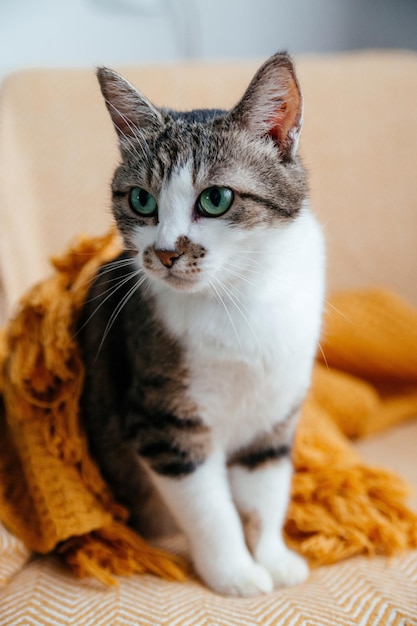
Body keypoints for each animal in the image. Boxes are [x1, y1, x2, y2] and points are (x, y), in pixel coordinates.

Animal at [78, 53, 324, 596]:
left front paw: (274, 559)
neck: (241, 297)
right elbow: (212, 510)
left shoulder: (273, 413)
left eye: (215, 199)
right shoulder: (164, 422)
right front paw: (236, 573)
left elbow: (265, 493)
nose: (166, 252)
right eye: (141, 200)